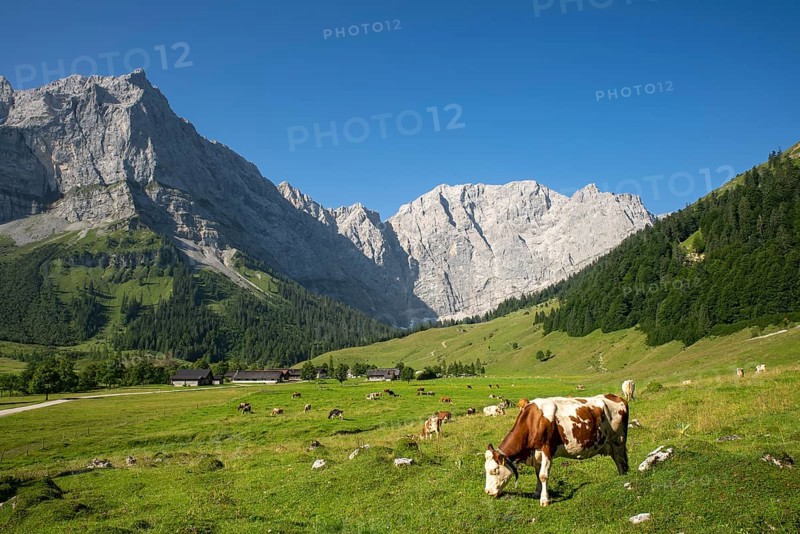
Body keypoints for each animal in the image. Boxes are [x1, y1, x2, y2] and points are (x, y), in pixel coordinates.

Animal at [484, 394, 629, 507]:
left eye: (494, 470)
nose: (487, 492)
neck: (533, 420)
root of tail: (616, 397)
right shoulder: (536, 453)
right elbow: (537, 473)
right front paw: (537, 493)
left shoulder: (547, 449)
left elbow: (543, 475)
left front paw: (544, 500)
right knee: (618, 461)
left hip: (618, 440)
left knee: (621, 460)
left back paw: (623, 480)